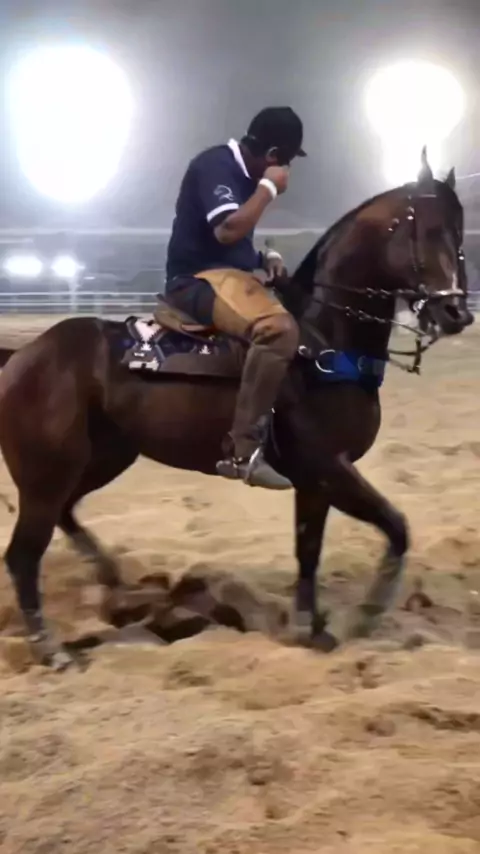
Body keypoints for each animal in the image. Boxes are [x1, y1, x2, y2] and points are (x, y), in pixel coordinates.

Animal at [0, 151, 473, 669]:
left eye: (460, 232)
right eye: (427, 229)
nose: (456, 314)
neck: (323, 342)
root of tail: (24, 355)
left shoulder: (314, 481)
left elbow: (309, 548)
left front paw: (310, 629)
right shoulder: (328, 467)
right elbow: (396, 527)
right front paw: (367, 613)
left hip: (100, 458)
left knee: (65, 515)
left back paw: (114, 583)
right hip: (48, 474)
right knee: (23, 554)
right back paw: (52, 649)